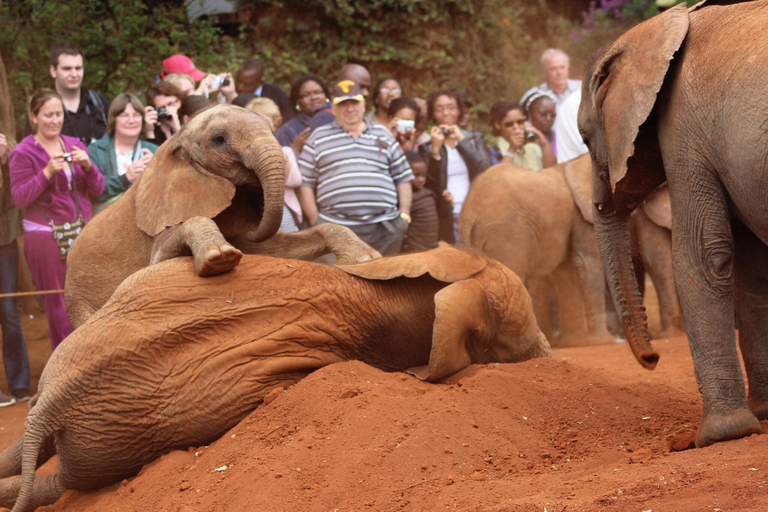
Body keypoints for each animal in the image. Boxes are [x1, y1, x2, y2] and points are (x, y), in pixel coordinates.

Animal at [64, 105, 380, 328]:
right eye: (219, 139)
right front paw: (221, 258)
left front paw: (366, 258)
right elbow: (157, 263)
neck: (178, 138)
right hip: (77, 299)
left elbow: (269, 250)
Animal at [584, 0, 768, 448]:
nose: (652, 359)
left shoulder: (684, 130)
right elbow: (751, 270)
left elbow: (705, 255)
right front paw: (761, 415)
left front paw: (722, 434)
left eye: (583, 138)